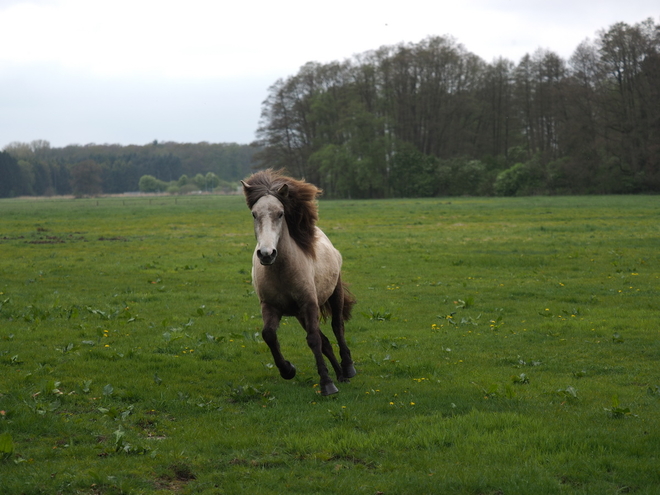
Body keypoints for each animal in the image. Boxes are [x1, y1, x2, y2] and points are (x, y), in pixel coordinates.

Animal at [241, 170, 356, 396]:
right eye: (254, 214)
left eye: (280, 213)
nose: (266, 254)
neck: (282, 272)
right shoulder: (270, 306)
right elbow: (269, 335)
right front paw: (288, 370)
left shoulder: (309, 303)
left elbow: (313, 340)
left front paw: (326, 384)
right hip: (299, 314)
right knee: (325, 341)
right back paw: (340, 375)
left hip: (334, 294)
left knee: (337, 327)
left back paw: (347, 368)